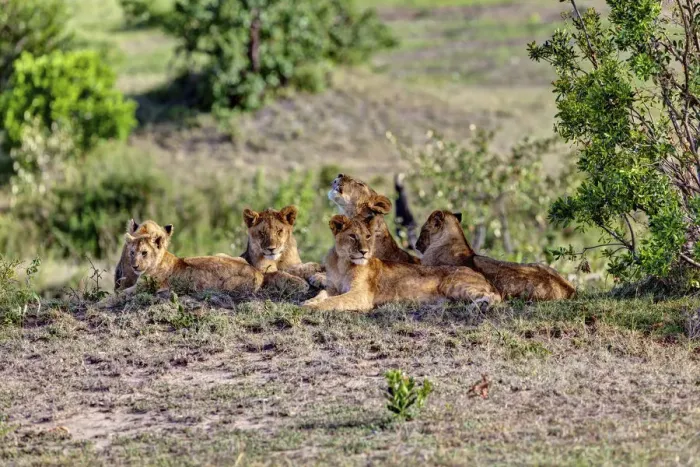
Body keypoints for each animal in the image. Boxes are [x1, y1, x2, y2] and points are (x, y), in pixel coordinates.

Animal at [121, 220, 263, 295]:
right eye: (132, 252)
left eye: (144, 253)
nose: (134, 266)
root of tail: (258, 272)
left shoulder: (148, 287)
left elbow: (121, 294)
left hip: (227, 285)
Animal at [302, 215, 501, 311]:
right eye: (352, 236)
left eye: (368, 236)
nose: (364, 252)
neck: (342, 263)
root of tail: (479, 273)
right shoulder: (333, 287)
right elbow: (322, 294)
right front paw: (309, 301)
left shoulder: (360, 295)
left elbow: (334, 301)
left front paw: (313, 307)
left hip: (453, 284)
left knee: (496, 296)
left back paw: (481, 305)